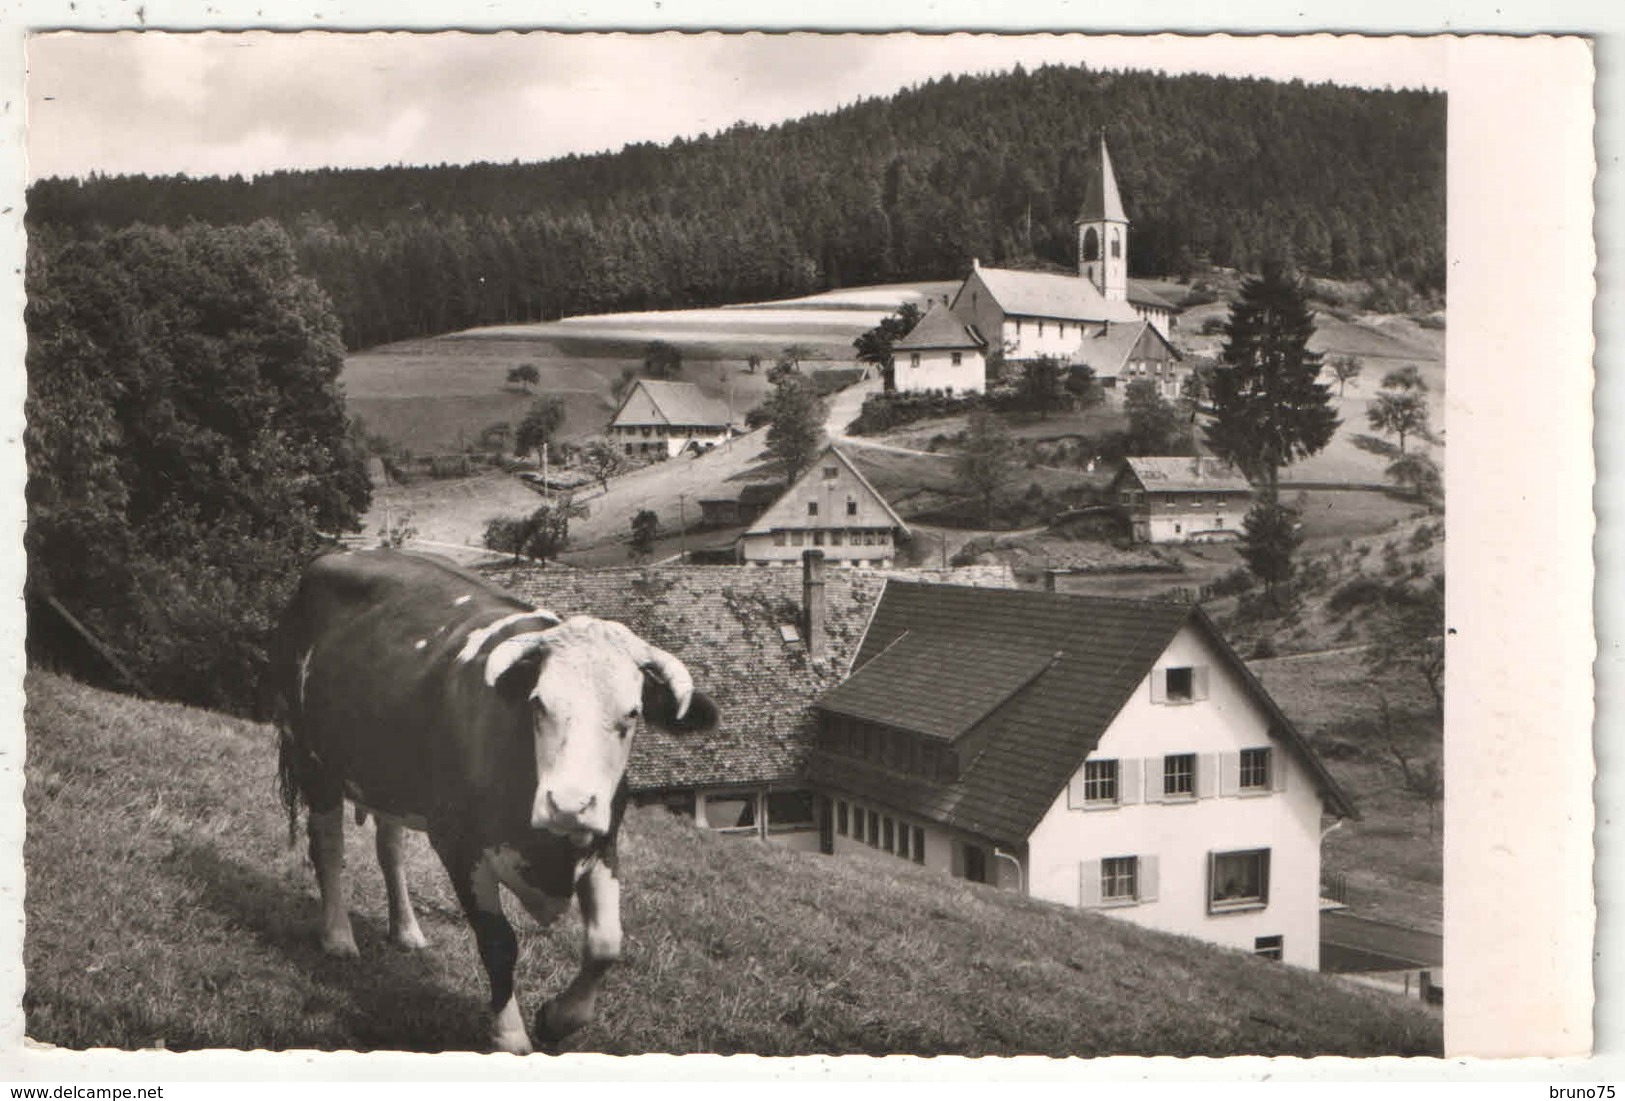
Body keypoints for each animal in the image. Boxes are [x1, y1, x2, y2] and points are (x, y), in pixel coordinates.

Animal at [273, 548, 718, 1058]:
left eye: (632, 713)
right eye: (539, 703)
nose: (568, 804)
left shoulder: (602, 844)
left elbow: (606, 945)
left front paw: (558, 1019)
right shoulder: (460, 846)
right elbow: (499, 941)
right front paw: (510, 1034)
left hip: (392, 778)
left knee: (391, 848)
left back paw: (406, 931)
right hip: (314, 759)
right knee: (328, 845)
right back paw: (338, 936)